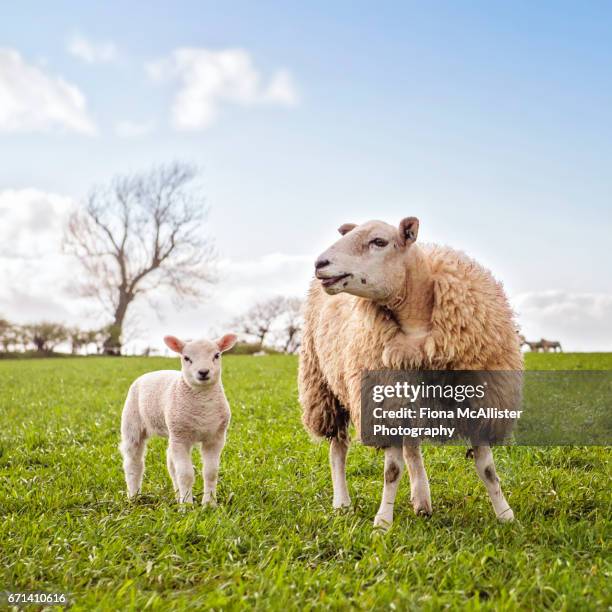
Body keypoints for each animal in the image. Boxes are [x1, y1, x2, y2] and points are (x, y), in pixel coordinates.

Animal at [119, 334, 237, 506]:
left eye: (217, 355)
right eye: (186, 358)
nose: (203, 372)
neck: (203, 407)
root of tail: (150, 373)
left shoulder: (216, 438)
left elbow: (211, 472)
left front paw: (209, 504)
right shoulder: (181, 439)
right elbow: (186, 474)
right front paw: (187, 506)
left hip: (173, 431)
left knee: (170, 463)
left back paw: (177, 496)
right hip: (132, 423)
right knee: (133, 462)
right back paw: (133, 496)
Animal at [298, 218, 520, 528]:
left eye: (379, 241)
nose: (320, 264)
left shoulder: (479, 404)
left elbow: (487, 468)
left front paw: (506, 515)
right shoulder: (385, 403)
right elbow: (391, 470)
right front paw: (382, 522)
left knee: (412, 448)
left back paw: (422, 501)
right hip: (324, 388)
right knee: (338, 449)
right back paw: (342, 502)